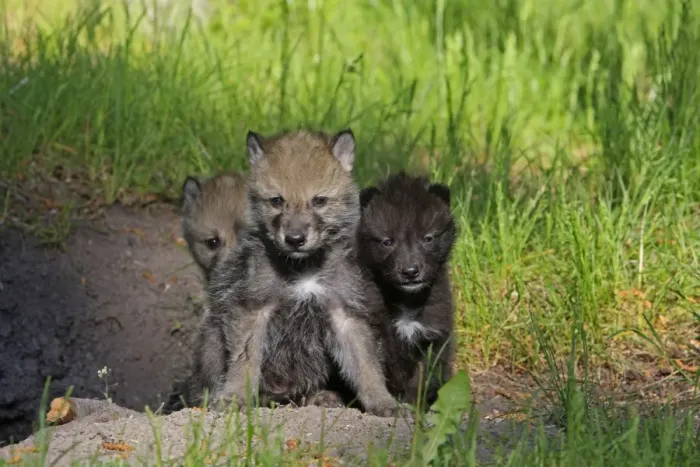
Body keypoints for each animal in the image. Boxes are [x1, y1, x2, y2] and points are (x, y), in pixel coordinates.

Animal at [191, 129, 399, 416]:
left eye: (319, 200)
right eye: (277, 201)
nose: (295, 239)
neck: (303, 270)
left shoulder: (344, 315)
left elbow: (366, 365)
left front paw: (383, 403)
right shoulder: (253, 310)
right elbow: (244, 362)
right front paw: (234, 398)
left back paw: (320, 397)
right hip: (211, 341)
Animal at [358, 171, 458, 408]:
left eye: (428, 238)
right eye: (387, 242)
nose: (410, 271)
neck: (407, 302)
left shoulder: (433, 338)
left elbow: (421, 378)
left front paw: (413, 405)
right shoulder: (376, 331)